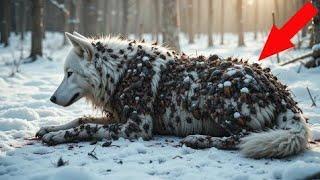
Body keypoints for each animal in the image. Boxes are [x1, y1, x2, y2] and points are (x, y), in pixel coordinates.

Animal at [35, 31, 310, 158]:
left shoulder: (137, 128)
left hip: (211, 93)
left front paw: (56, 136)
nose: (51, 99)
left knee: (242, 138)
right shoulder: (118, 117)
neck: (121, 71)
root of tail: (282, 91)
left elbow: (85, 127)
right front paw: (50, 128)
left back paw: (198, 139)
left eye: (69, 73)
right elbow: (80, 119)